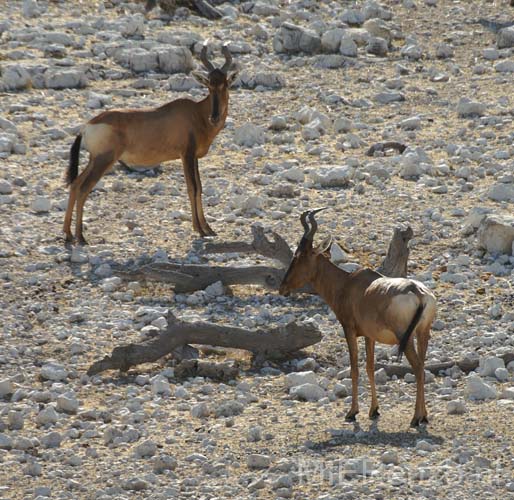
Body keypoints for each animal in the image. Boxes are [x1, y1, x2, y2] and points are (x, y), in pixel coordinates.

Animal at [63, 42, 237, 245]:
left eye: (225, 84)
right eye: (209, 85)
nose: (214, 117)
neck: (196, 112)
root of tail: (87, 126)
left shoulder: (193, 157)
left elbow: (199, 187)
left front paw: (208, 228)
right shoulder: (186, 155)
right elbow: (192, 188)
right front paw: (200, 230)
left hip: (94, 160)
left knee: (75, 184)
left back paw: (68, 234)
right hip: (103, 160)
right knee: (84, 189)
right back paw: (81, 237)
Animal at [278, 209, 434, 428]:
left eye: (299, 255)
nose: (282, 288)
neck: (348, 283)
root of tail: (417, 292)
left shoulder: (349, 330)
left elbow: (354, 369)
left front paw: (352, 412)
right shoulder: (370, 335)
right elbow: (369, 367)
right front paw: (374, 410)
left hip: (406, 336)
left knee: (418, 368)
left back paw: (415, 418)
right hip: (423, 333)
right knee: (423, 365)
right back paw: (424, 415)